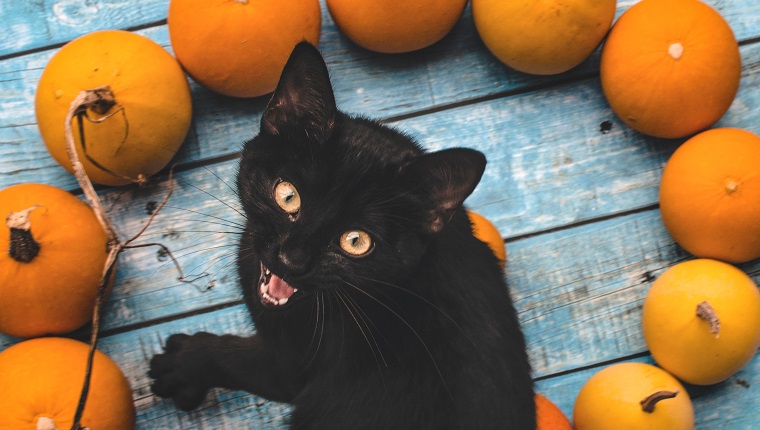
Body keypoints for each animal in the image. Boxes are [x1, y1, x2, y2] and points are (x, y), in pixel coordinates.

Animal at [148, 41, 536, 430]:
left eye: (356, 241)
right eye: (287, 195)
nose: (291, 260)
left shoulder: (290, 365)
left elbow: (237, 360)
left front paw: (184, 363)